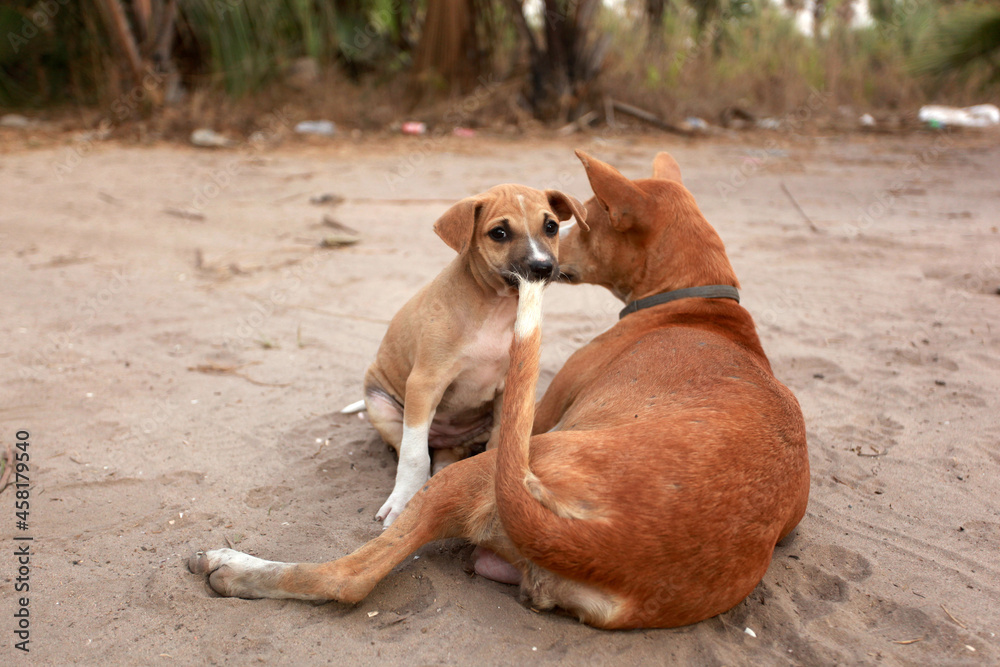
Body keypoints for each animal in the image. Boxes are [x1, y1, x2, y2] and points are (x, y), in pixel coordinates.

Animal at [344, 184, 584, 528]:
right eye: (499, 233)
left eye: (551, 226)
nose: (542, 268)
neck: (496, 307)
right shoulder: (425, 384)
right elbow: (414, 456)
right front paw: (401, 503)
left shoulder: (509, 388)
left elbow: (498, 441)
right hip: (382, 405)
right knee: (409, 447)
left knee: (448, 457)